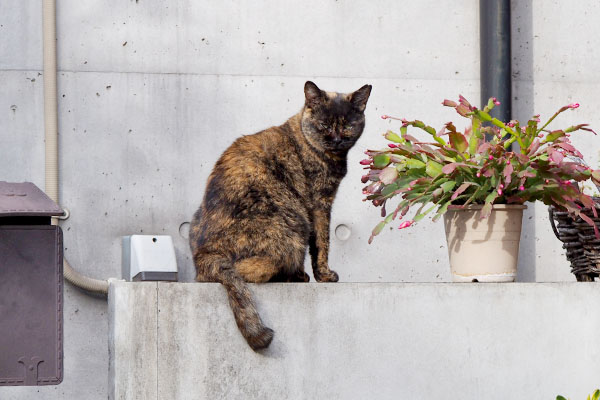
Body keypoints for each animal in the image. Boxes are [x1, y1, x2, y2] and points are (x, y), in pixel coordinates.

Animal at [189, 82, 370, 350]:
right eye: (324, 125)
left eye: (347, 125)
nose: (337, 140)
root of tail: (205, 255)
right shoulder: (318, 204)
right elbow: (322, 243)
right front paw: (324, 275)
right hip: (291, 226)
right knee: (248, 270)